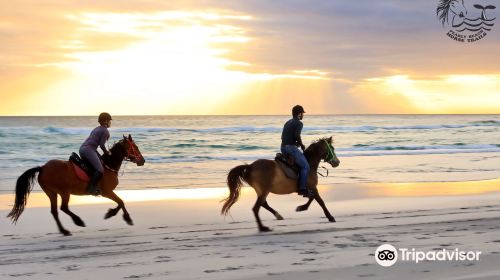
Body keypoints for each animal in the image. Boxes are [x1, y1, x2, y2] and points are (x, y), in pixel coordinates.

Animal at [7, 135, 146, 235]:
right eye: (135, 147)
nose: (143, 161)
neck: (108, 165)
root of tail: (42, 168)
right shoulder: (107, 192)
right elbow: (121, 201)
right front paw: (125, 218)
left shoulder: (108, 192)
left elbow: (120, 202)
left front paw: (111, 213)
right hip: (64, 192)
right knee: (63, 208)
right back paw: (78, 221)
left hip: (52, 193)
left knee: (55, 211)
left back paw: (64, 231)